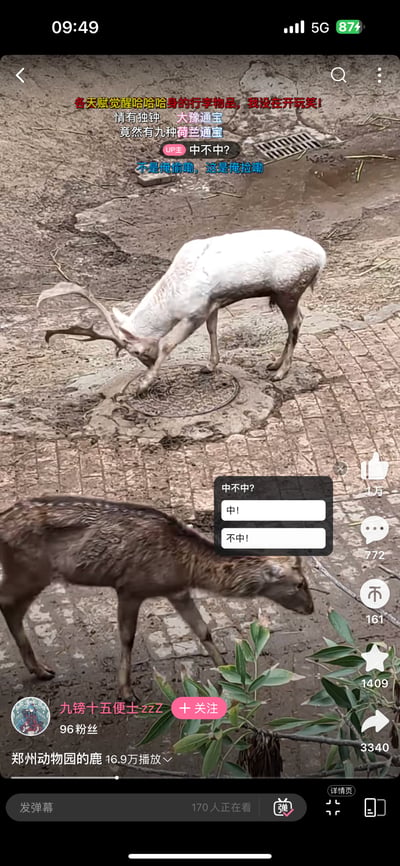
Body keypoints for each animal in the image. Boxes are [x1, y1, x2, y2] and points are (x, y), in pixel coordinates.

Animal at [0, 495, 314, 699]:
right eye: (299, 583)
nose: (311, 608)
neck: (186, 567)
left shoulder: (177, 591)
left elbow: (203, 629)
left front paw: (227, 672)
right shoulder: (130, 587)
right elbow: (127, 637)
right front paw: (126, 692)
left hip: (31, 572)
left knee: (11, 606)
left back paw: (40, 669)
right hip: (30, 569)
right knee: (7, 601)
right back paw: (39, 669)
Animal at [37, 229, 326, 397]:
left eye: (137, 352)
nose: (149, 364)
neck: (173, 299)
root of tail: (322, 258)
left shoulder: (195, 311)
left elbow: (168, 343)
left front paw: (144, 384)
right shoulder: (213, 304)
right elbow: (213, 330)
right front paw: (210, 365)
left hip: (289, 289)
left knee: (296, 322)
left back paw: (281, 372)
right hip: (285, 293)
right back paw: (274, 364)